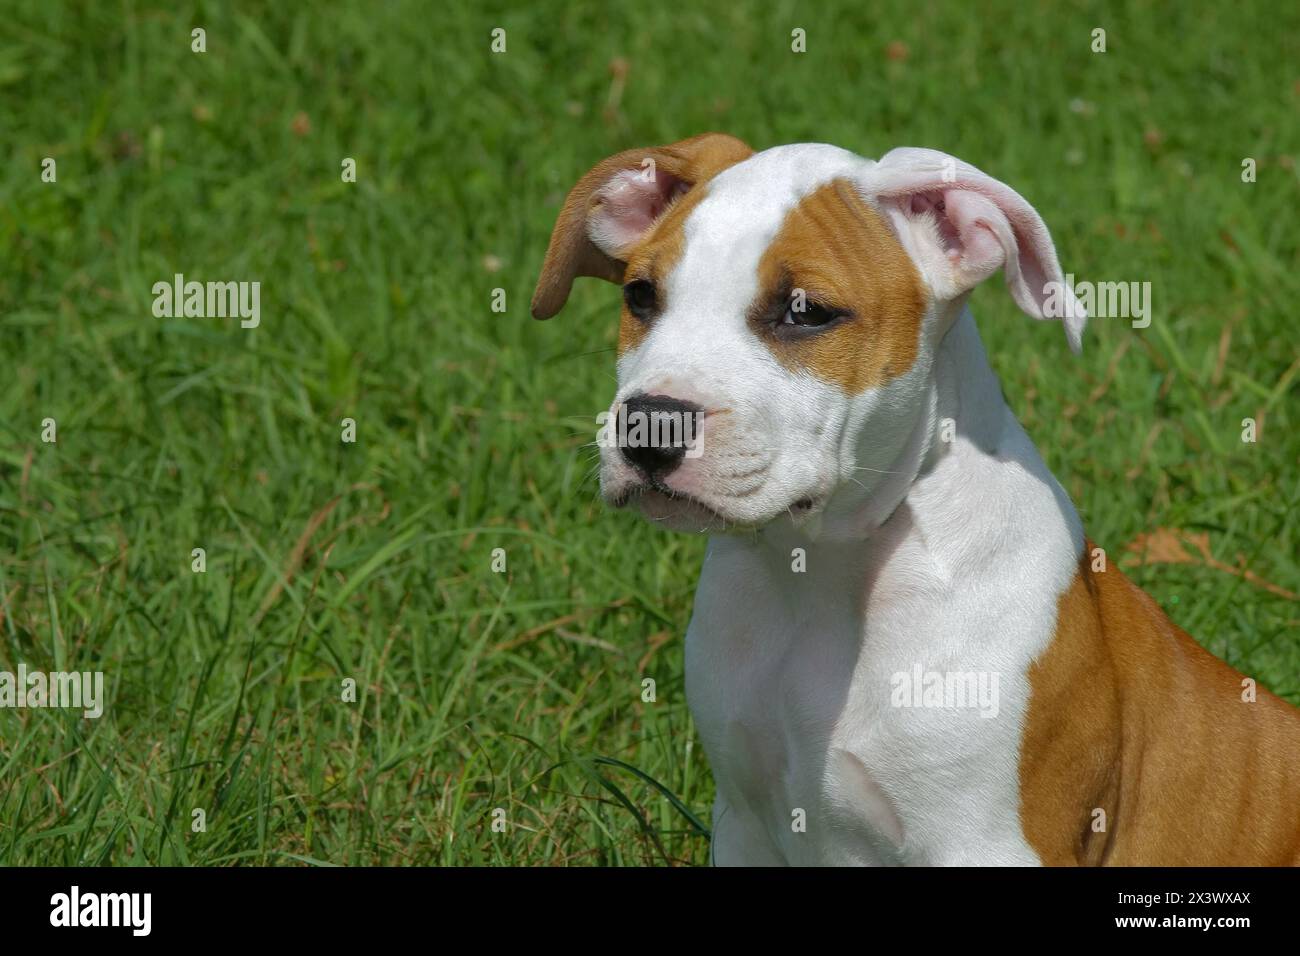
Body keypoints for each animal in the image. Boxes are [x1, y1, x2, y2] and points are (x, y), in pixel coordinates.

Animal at [530, 132, 1300, 868]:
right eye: (640, 297)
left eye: (805, 313)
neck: (819, 574)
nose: (650, 424)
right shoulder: (744, 823)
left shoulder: (987, 844)